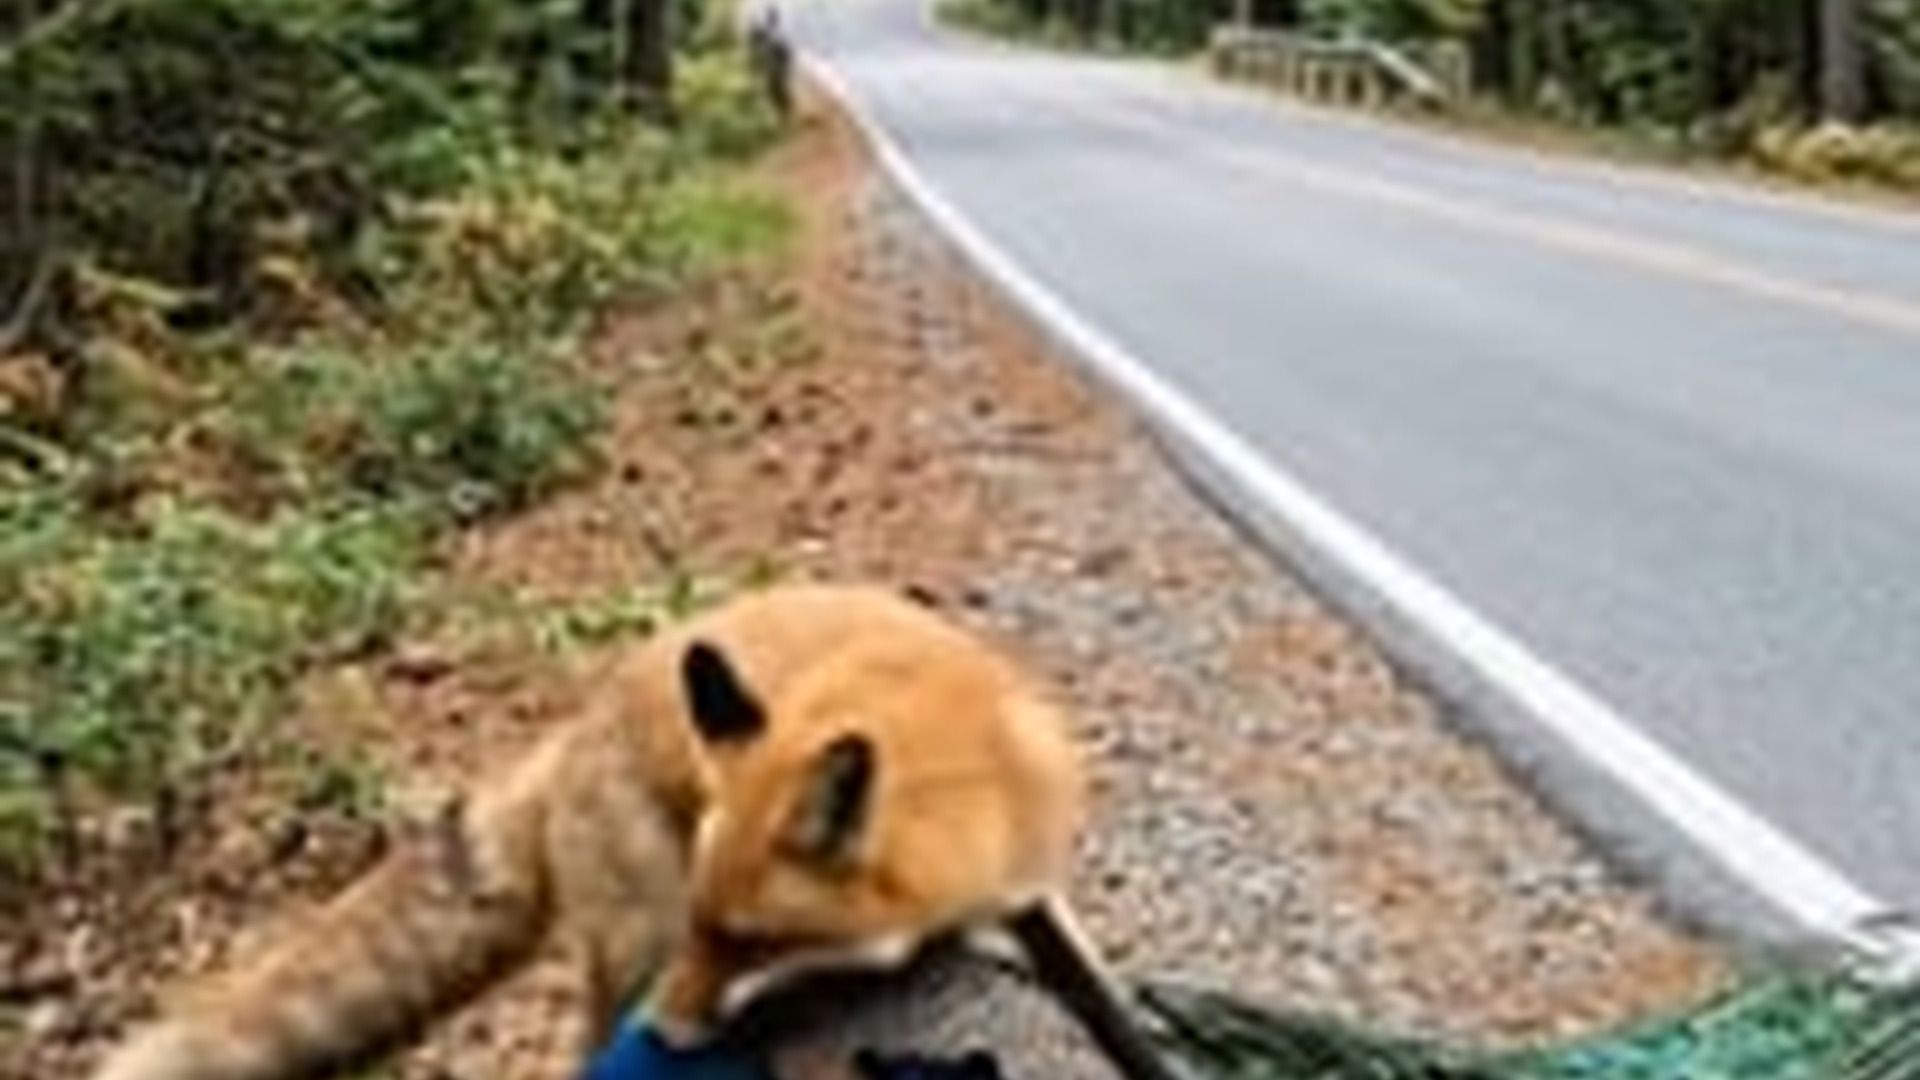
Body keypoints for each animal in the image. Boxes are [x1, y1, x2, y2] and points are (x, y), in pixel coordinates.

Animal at [87, 583, 1074, 1080]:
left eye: (752, 941)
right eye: (710, 932)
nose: (665, 1035)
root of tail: (577, 725)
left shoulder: (1033, 884)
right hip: (636, 937)